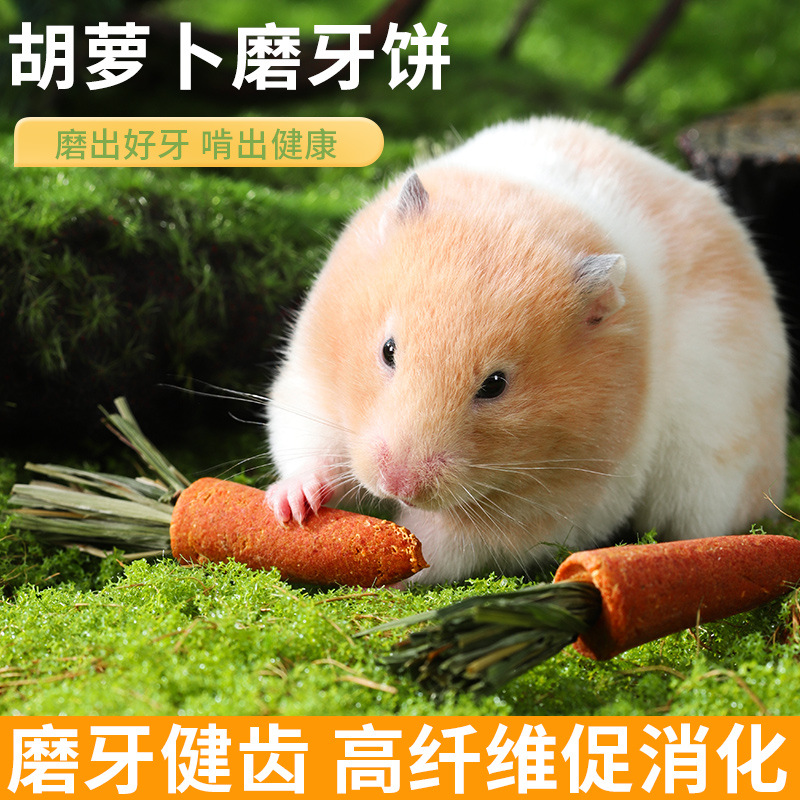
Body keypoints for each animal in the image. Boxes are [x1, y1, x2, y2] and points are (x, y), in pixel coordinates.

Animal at [264, 116, 790, 585]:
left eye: (495, 385)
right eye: (388, 351)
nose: (400, 486)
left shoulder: (565, 498)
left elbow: (451, 543)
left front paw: (396, 562)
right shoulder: (311, 380)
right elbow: (306, 448)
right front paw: (292, 506)